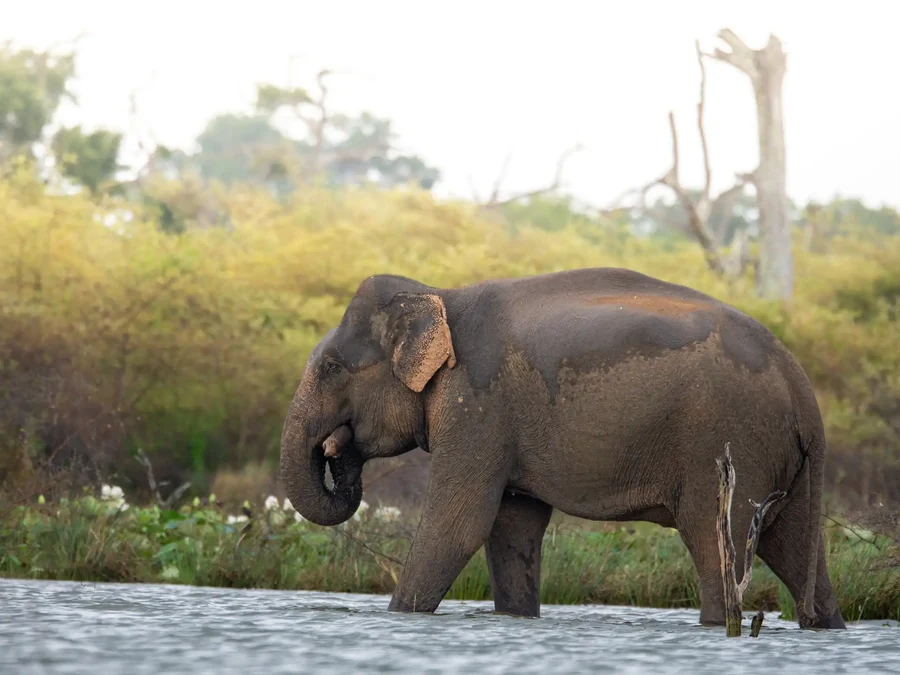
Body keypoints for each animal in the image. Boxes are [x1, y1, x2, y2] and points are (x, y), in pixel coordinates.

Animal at [279, 267, 846, 629]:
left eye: (331, 367)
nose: (335, 450)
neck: (439, 294)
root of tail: (802, 388)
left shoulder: (477, 403)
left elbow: (458, 524)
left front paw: (399, 618)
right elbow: (512, 527)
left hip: (731, 443)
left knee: (714, 542)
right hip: (781, 461)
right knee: (795, 551)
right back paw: (824, 624)